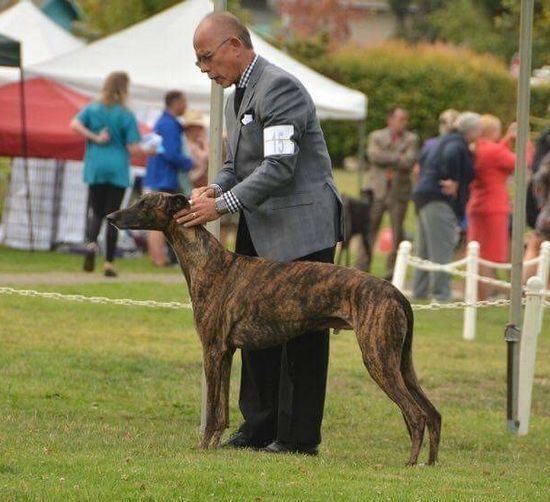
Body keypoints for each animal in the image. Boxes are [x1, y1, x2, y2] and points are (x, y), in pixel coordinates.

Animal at [109, 192, 444, 466]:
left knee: (415, 414)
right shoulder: (227, 352)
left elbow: (213, 410)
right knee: (433, 413)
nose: (111, 218)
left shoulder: (213, 350)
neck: (209, 261)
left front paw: (203, 447)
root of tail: (395, 292)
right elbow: (223, 411)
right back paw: (429, 463)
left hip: (378, 358)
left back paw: (410, 463)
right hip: (401, 362)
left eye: (144, 203)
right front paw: (216, 444)